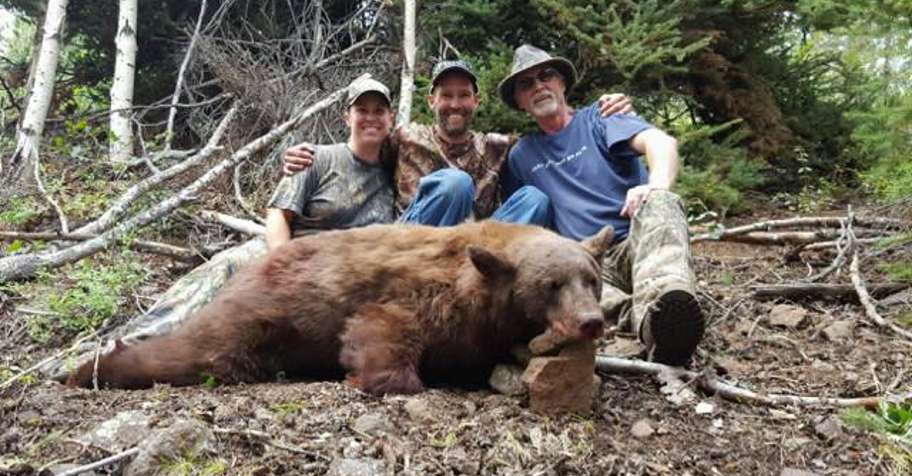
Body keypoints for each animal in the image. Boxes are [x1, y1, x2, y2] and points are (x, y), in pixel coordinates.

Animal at [67, 220, 614, 395]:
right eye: (551, 285)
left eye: (591, 280)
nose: (591, 321)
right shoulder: (421, 297)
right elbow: (382, 328)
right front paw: (370, 376)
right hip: (258, 315)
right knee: (202, 353)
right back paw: (89, 367)